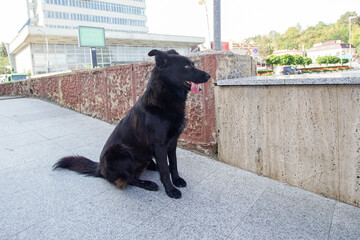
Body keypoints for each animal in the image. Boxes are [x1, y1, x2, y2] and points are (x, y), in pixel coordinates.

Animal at [53, 49, 211, 199]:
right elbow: (165, 171)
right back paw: (147, 183)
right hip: (119, 151)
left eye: (193, 64)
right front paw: (170, 190)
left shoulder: (172, 143)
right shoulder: (160, 145)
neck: (164, 99)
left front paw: (177, 180)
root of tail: (100, 169)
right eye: (186, 67)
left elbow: (173, 164)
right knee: (130, 178)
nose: (209, 75)